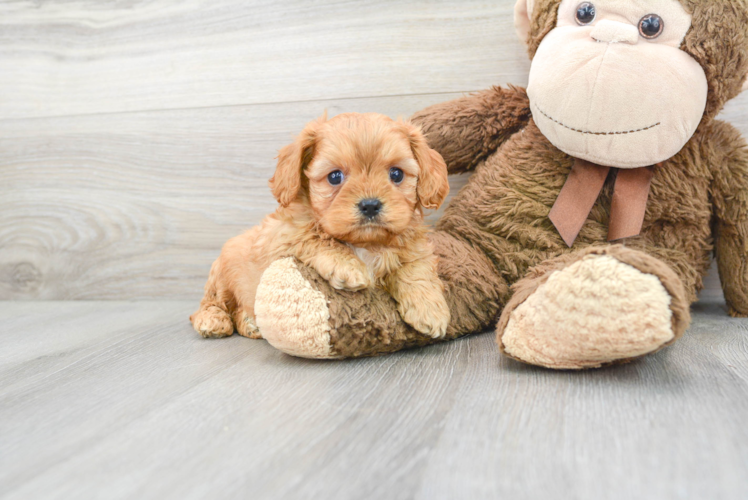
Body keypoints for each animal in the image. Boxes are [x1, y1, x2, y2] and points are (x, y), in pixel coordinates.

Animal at [191, 113, 450, 340]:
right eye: (334, 177)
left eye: (396, 174)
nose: (370, 205)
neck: (365, 243)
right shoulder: (280, 238)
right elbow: (313, 237)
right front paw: (347, 265)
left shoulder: (414, 246)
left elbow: (416, 269)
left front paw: (429, 309)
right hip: (222, 275)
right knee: (211, 304)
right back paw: (213, 320)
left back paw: (249, 323)